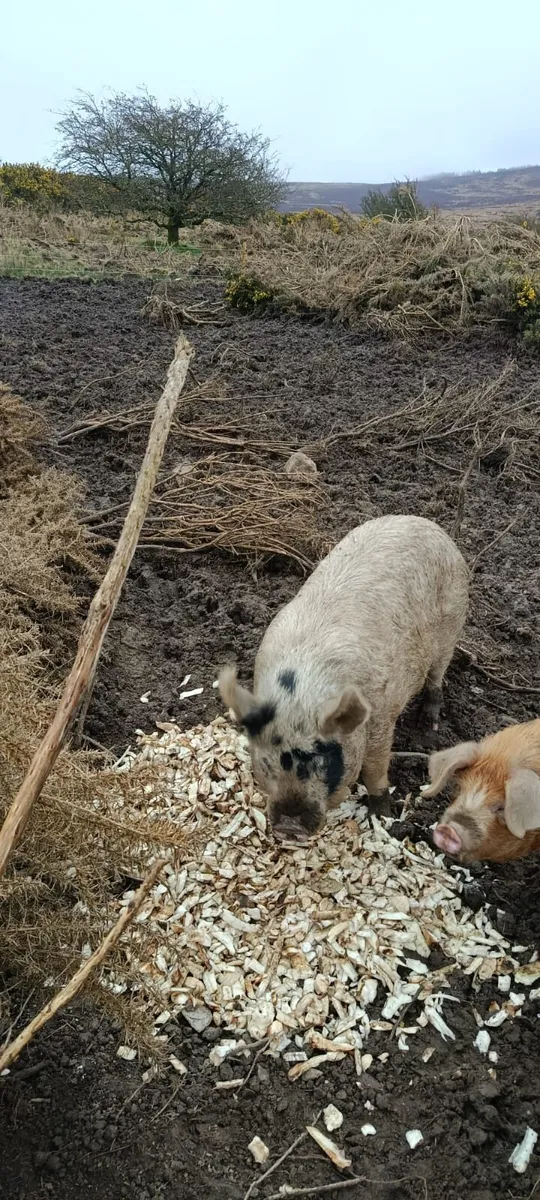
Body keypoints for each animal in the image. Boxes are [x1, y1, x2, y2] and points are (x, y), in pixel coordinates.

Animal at [219, 514, 468, 842]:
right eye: (266, 761)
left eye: (324, 761)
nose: (290, 827)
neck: (302, 694)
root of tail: (429, 525)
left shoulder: (381, 717)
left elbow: (375, 769)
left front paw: (382, 815)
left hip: (451, 628)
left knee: (437, 678)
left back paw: (430, 725)